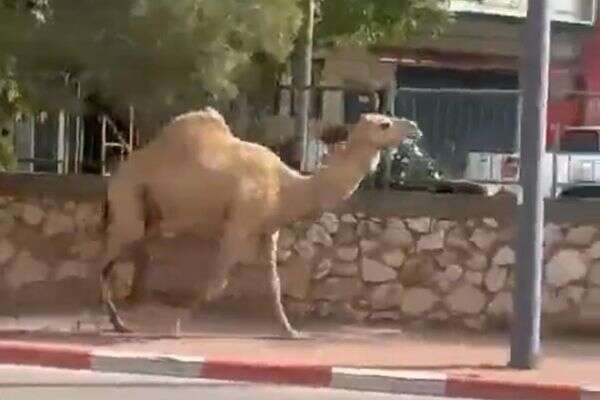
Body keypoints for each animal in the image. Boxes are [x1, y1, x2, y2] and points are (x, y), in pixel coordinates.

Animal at [100, 107, 420, 337]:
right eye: (384, 124)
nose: (414, 127)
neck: (286, 186)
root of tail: (115, 175)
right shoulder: (239, 224)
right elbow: (218, 281)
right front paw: (175, 326)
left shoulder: (270, 231)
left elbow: (274, 283)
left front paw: (291, 331)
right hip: (130, 204)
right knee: (106, 261)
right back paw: (120, 323)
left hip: (150, 217)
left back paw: (119, 323)